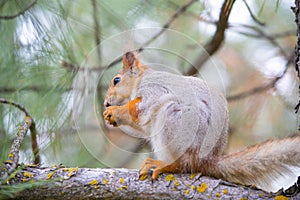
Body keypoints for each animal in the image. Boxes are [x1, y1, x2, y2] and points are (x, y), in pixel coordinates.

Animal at [103, 51, 300, 192]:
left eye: (116, 80)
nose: (105, 103)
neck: (140, 80)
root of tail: (206, 160)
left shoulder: (154, 89)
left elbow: (143, 107)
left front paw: (116, 111)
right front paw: (110, 117)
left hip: (175, 120)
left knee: (183, 164)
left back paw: (164, 164)